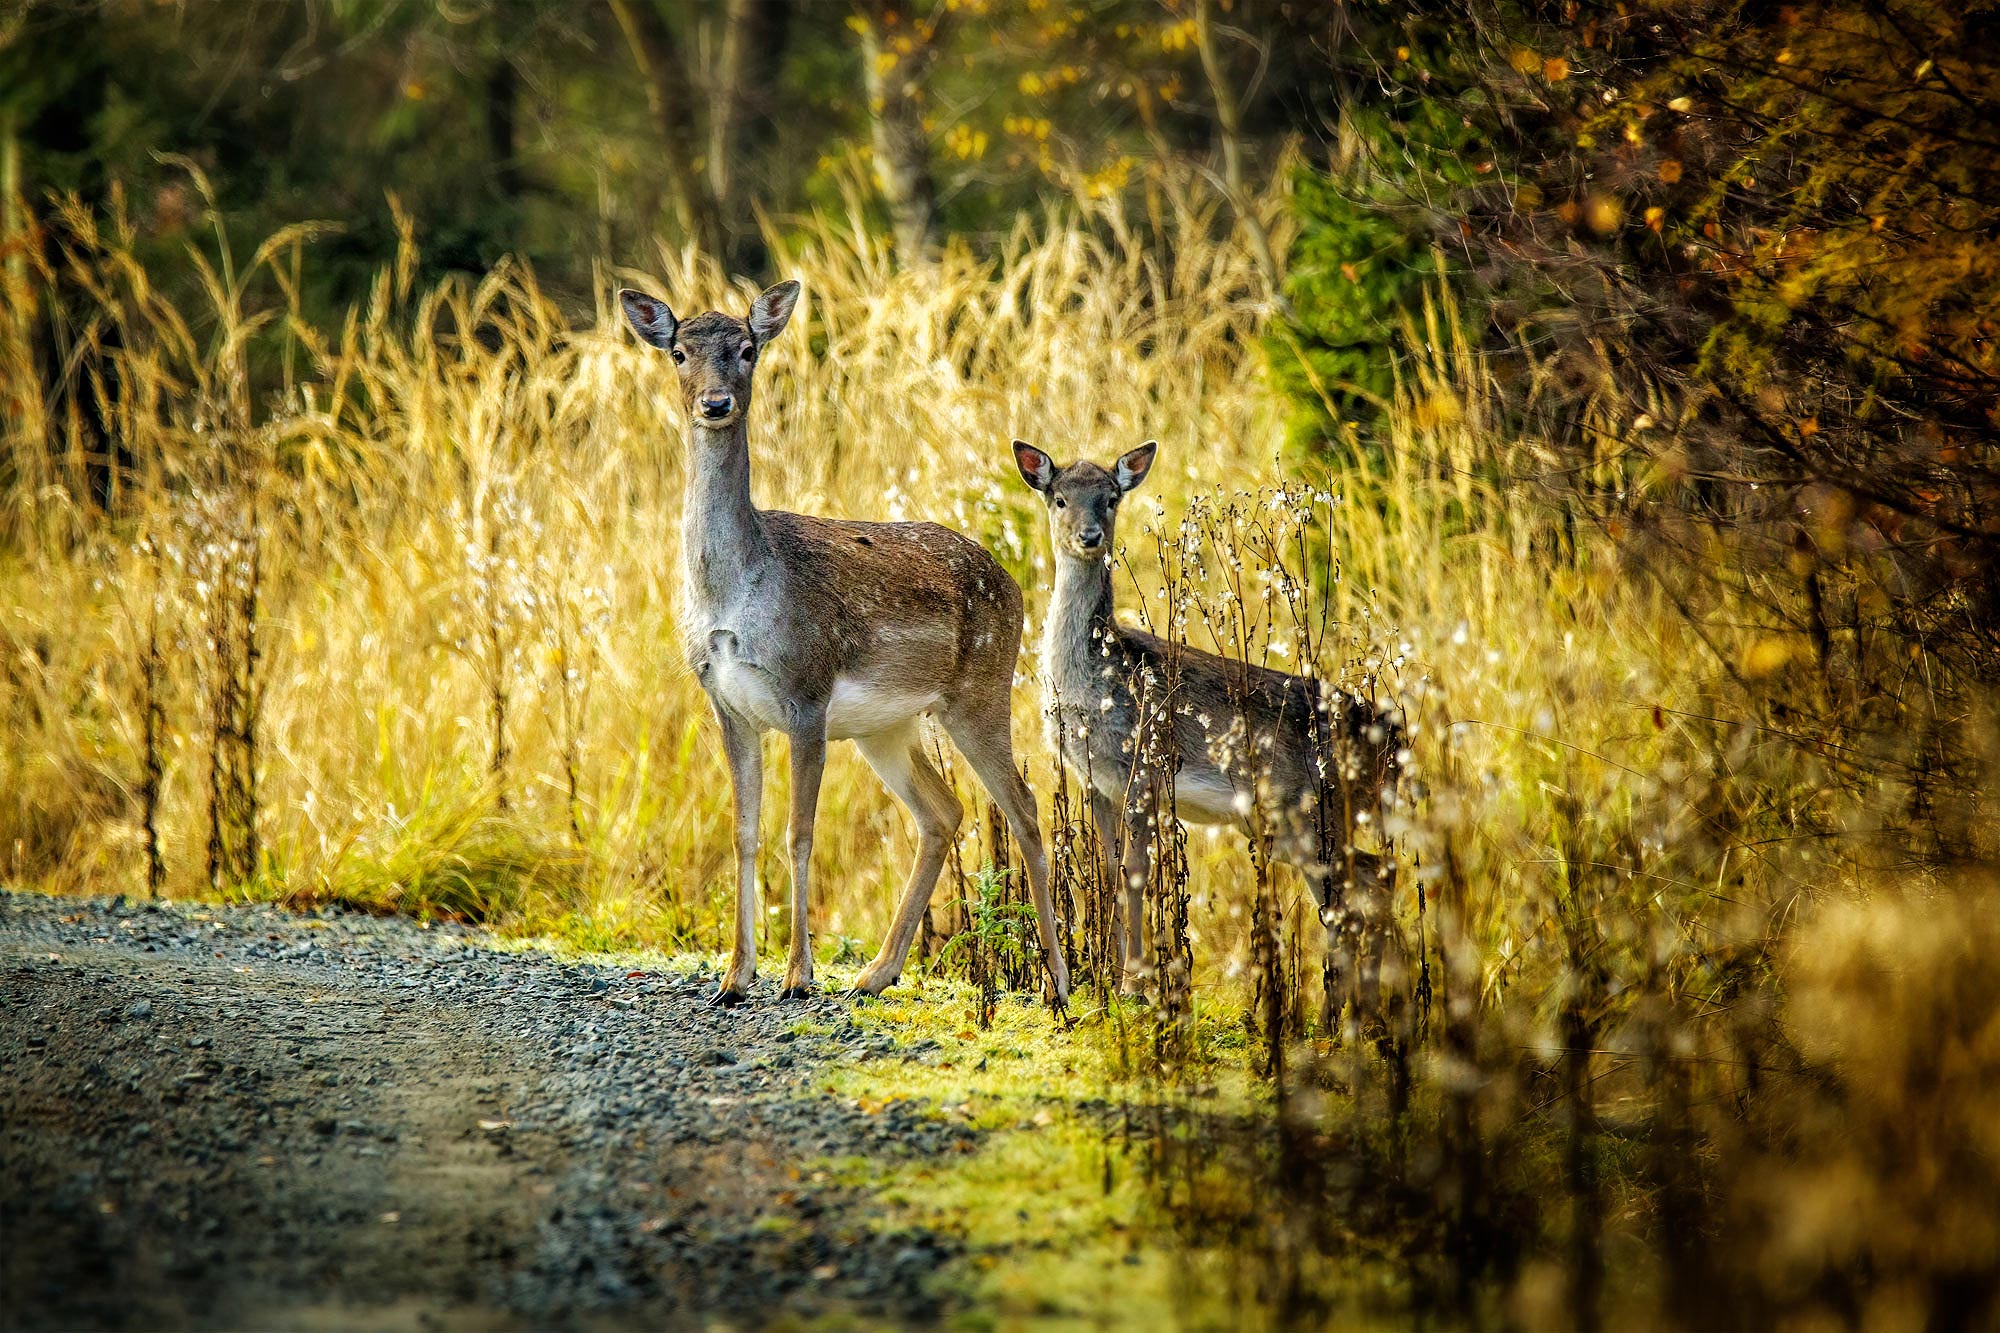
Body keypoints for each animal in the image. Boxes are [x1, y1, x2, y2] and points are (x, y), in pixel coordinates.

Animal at [616, 282, 1072, 1008]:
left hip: (980, 690)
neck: (736, 591)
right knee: (944, 810)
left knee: (1024, 807)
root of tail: (1013, 582)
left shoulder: (806, 691)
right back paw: (877, 971)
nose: (714, 403)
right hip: (883, 727)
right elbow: (744, 832)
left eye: (747, 348)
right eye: (679, 351)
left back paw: (1059, 981)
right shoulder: (726, 701)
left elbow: (798, 834)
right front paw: (734, 977)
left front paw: (796, 974)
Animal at [1008, 436, 1400, 1008]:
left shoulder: (1144, 766)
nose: (1089, 536)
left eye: (1110, 498)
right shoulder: (1095, 781)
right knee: (1372, 880)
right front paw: (1108, 977)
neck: (1096, 683)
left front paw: (1135, 983)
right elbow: (1109, 868)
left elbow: (1135, 874)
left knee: (1362, 888)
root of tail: (1393, 743)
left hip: (1317, 813)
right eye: (1059, 498)